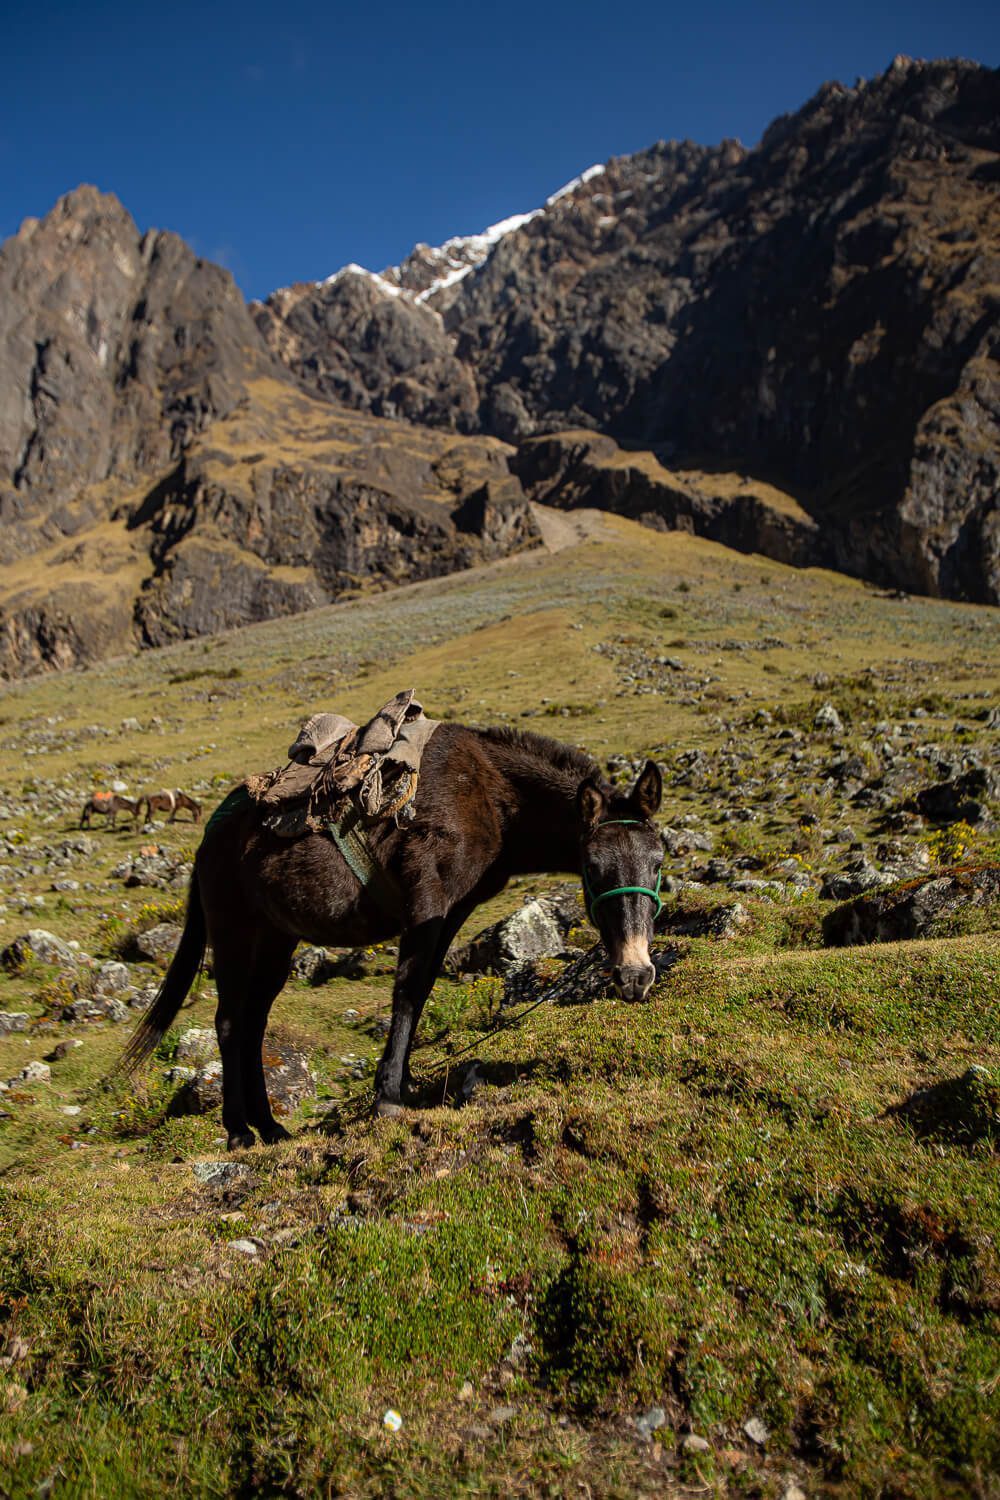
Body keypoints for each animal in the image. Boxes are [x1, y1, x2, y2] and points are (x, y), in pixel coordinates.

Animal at [119, 726, 665, 1146]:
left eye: (659, 862)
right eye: (592, 867)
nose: (635, 977)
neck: (490, 795)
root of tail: (209, 839)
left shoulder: (452, 911)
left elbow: (420, 991)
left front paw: (404, 1084)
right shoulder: (426, 901)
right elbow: (406, 990)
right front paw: (387, 1098)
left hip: (276, 941)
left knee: (253, 1024)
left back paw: (271, 1127)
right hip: (235, 932)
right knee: (230, 1023)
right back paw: (238, 1132)